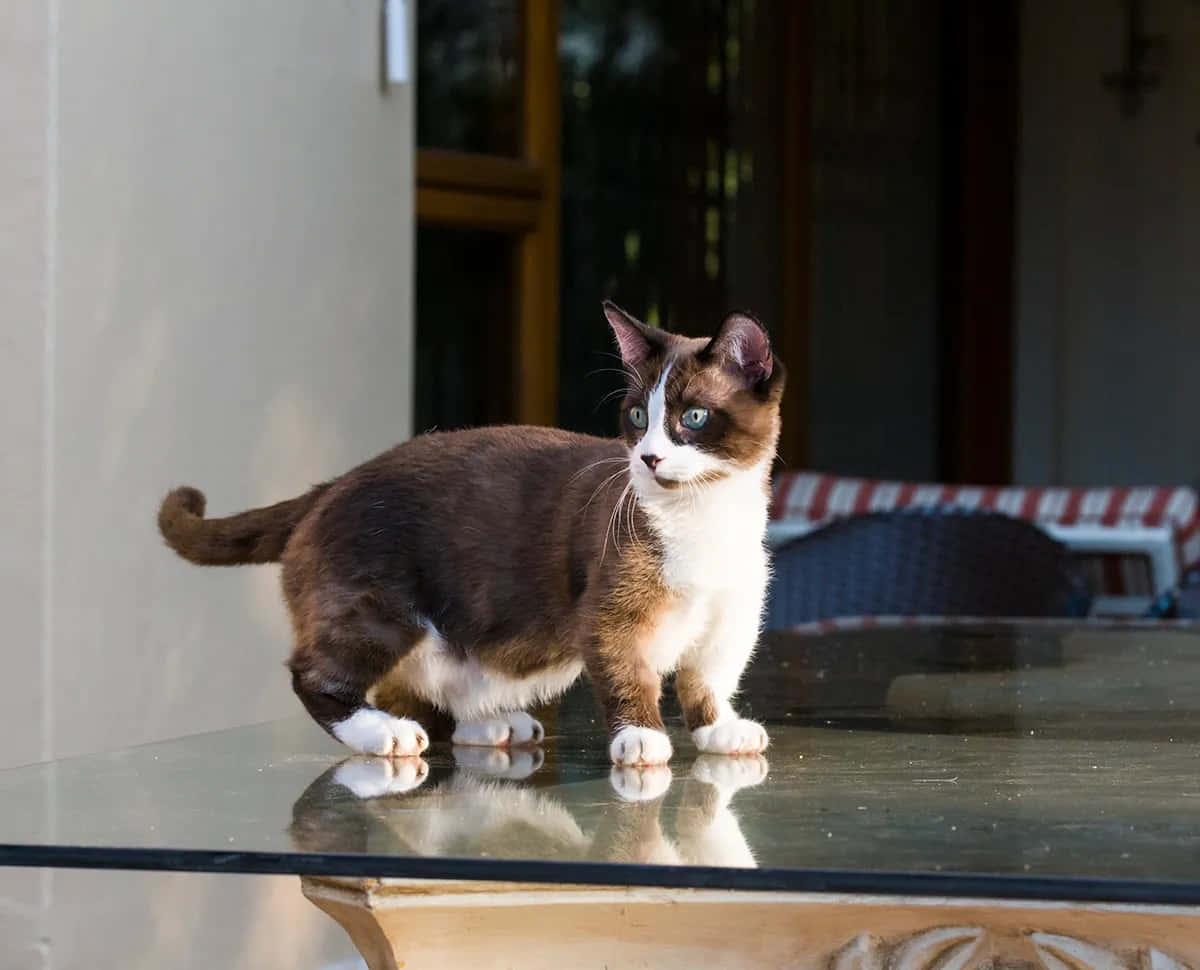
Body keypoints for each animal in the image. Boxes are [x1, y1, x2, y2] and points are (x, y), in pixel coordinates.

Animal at [154, 302, 782, 763]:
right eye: (636, 417)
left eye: (693, 417)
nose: (649, 457)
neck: (702, 515)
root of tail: (333, 482)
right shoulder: (610, 609)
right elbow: (628, 669)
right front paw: (641, 737)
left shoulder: (733, 616)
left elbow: (710, 678)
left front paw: (719, 729)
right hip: (380, 607)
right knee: (318, 674)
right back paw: (384, 733)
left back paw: (488, 724)